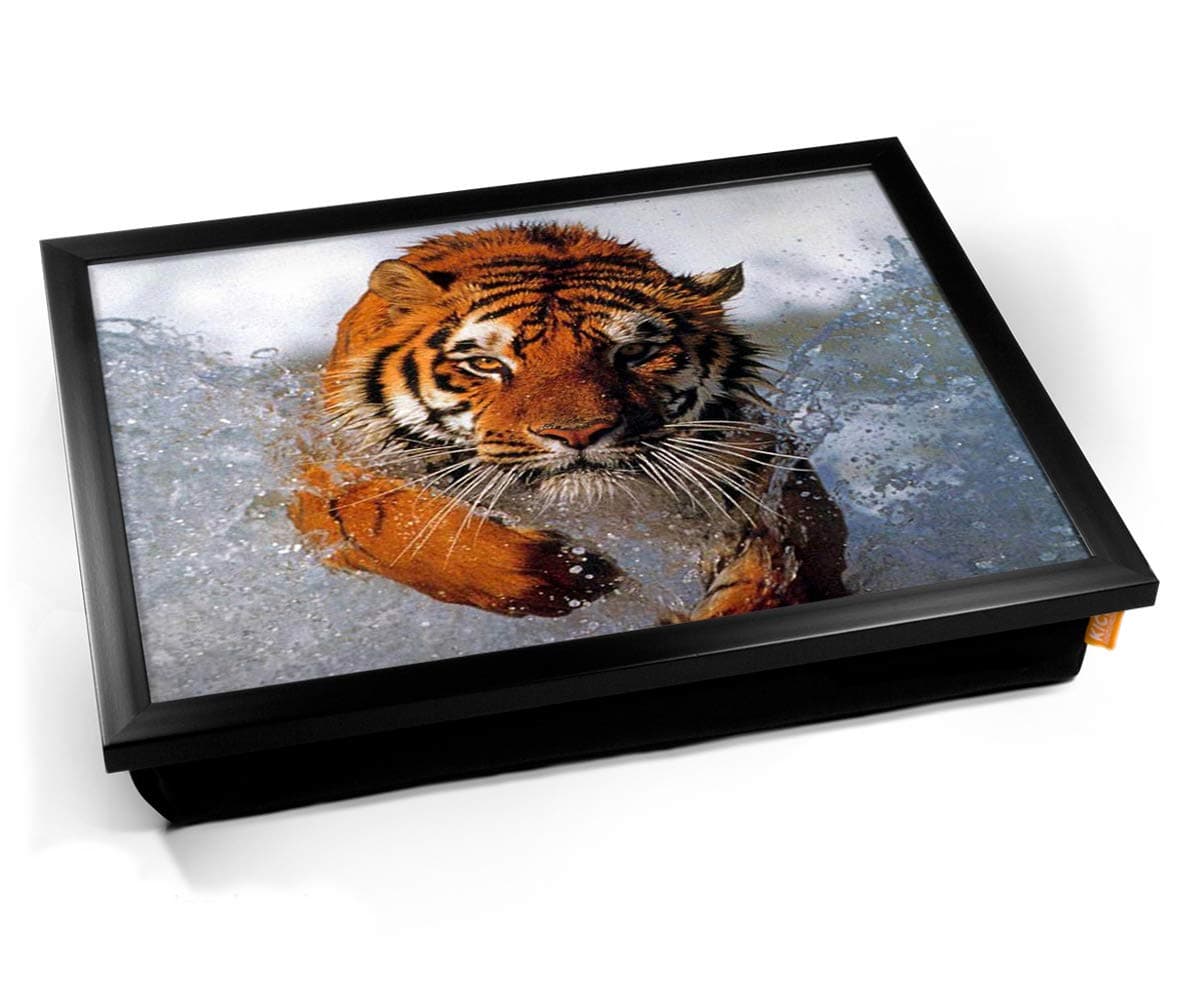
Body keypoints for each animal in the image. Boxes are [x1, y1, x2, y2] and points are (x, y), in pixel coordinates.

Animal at [288, 221, 848, 619]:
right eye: (486, 363)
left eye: (634, 353)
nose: (578, 433)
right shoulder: (327, 471)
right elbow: (397, 524)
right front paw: (574, 575)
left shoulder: (761, 469)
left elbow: (784, 561)